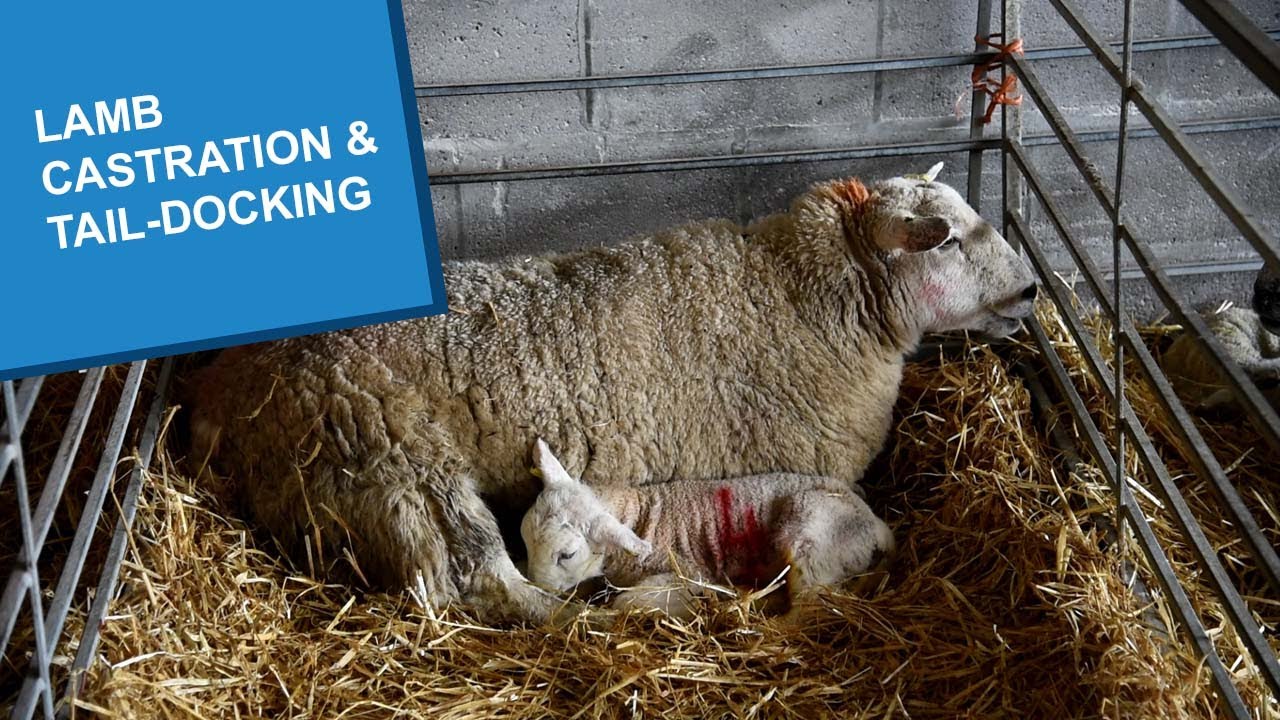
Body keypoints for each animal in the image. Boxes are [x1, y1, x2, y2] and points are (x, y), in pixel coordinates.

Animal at [520, 439, 894, 617]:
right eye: (523, 540)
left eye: (567, 554)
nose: (537, 588)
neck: (639, 517)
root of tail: (875, 525)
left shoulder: (688, 573)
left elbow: (625, 603)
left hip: (813, 541)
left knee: (810, 609)